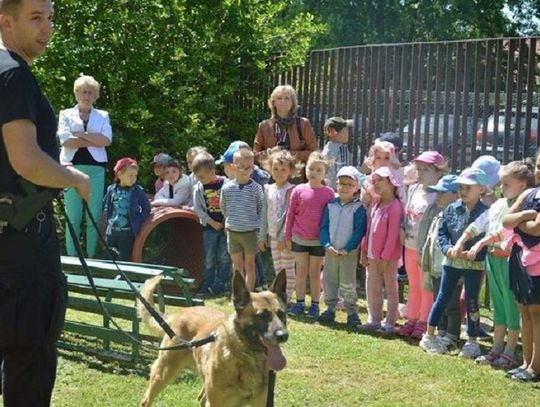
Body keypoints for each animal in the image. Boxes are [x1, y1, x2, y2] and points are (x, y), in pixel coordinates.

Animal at [139, 270, 288, 407]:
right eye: (262, 315)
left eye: (282, 314)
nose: (283, 336)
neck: (247, 356)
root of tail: (178, 313)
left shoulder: (260, 402)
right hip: (163, 373)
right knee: (146, 400)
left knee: (201, 398)